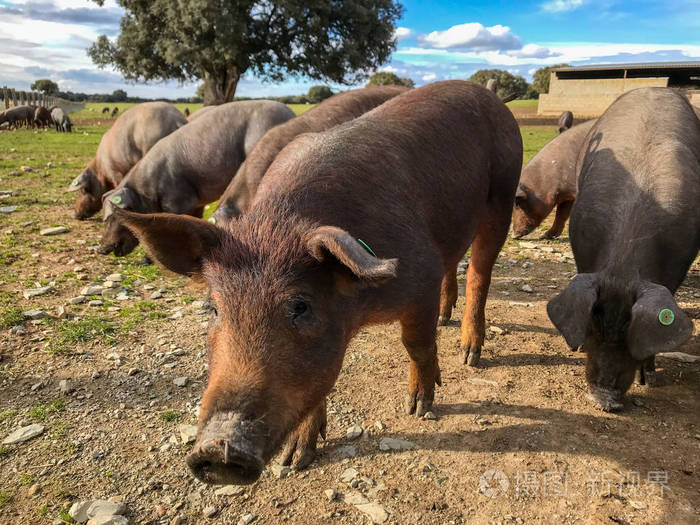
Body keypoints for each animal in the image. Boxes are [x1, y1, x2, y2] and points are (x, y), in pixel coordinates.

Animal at [99, 100, 296, 256]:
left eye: (110, 218)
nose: (100, 249)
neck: (145, 192)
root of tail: (290, 113)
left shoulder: (178, 199)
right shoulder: (195, 201)